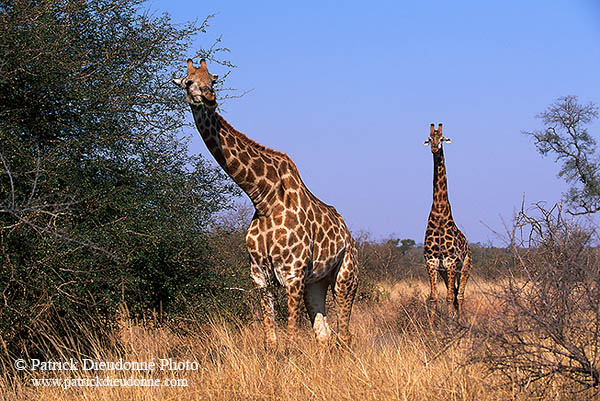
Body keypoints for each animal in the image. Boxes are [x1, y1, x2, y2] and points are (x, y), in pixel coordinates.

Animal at [173, 59, 358, 346]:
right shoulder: (260, 276)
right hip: (316, 283)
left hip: (346, 276)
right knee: (324, 334)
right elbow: (270, 340)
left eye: (213, 80)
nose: (209, 97)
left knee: (345, 333)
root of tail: (348, 234)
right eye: (189, 81)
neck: (264, 199)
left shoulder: (293, 274)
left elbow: (291, 340)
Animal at [422, 123, 474, 320]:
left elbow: (450, 297)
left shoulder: (451, 261)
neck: (439, 215)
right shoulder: (432, 261)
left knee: (460, 295)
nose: (435, 148)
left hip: (465, 266)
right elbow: (434, 297)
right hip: (445, 271)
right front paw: (432, 326)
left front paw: (450, 324)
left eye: (442, 138)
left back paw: (459, 321)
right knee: (455, 293)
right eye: (429, 139)